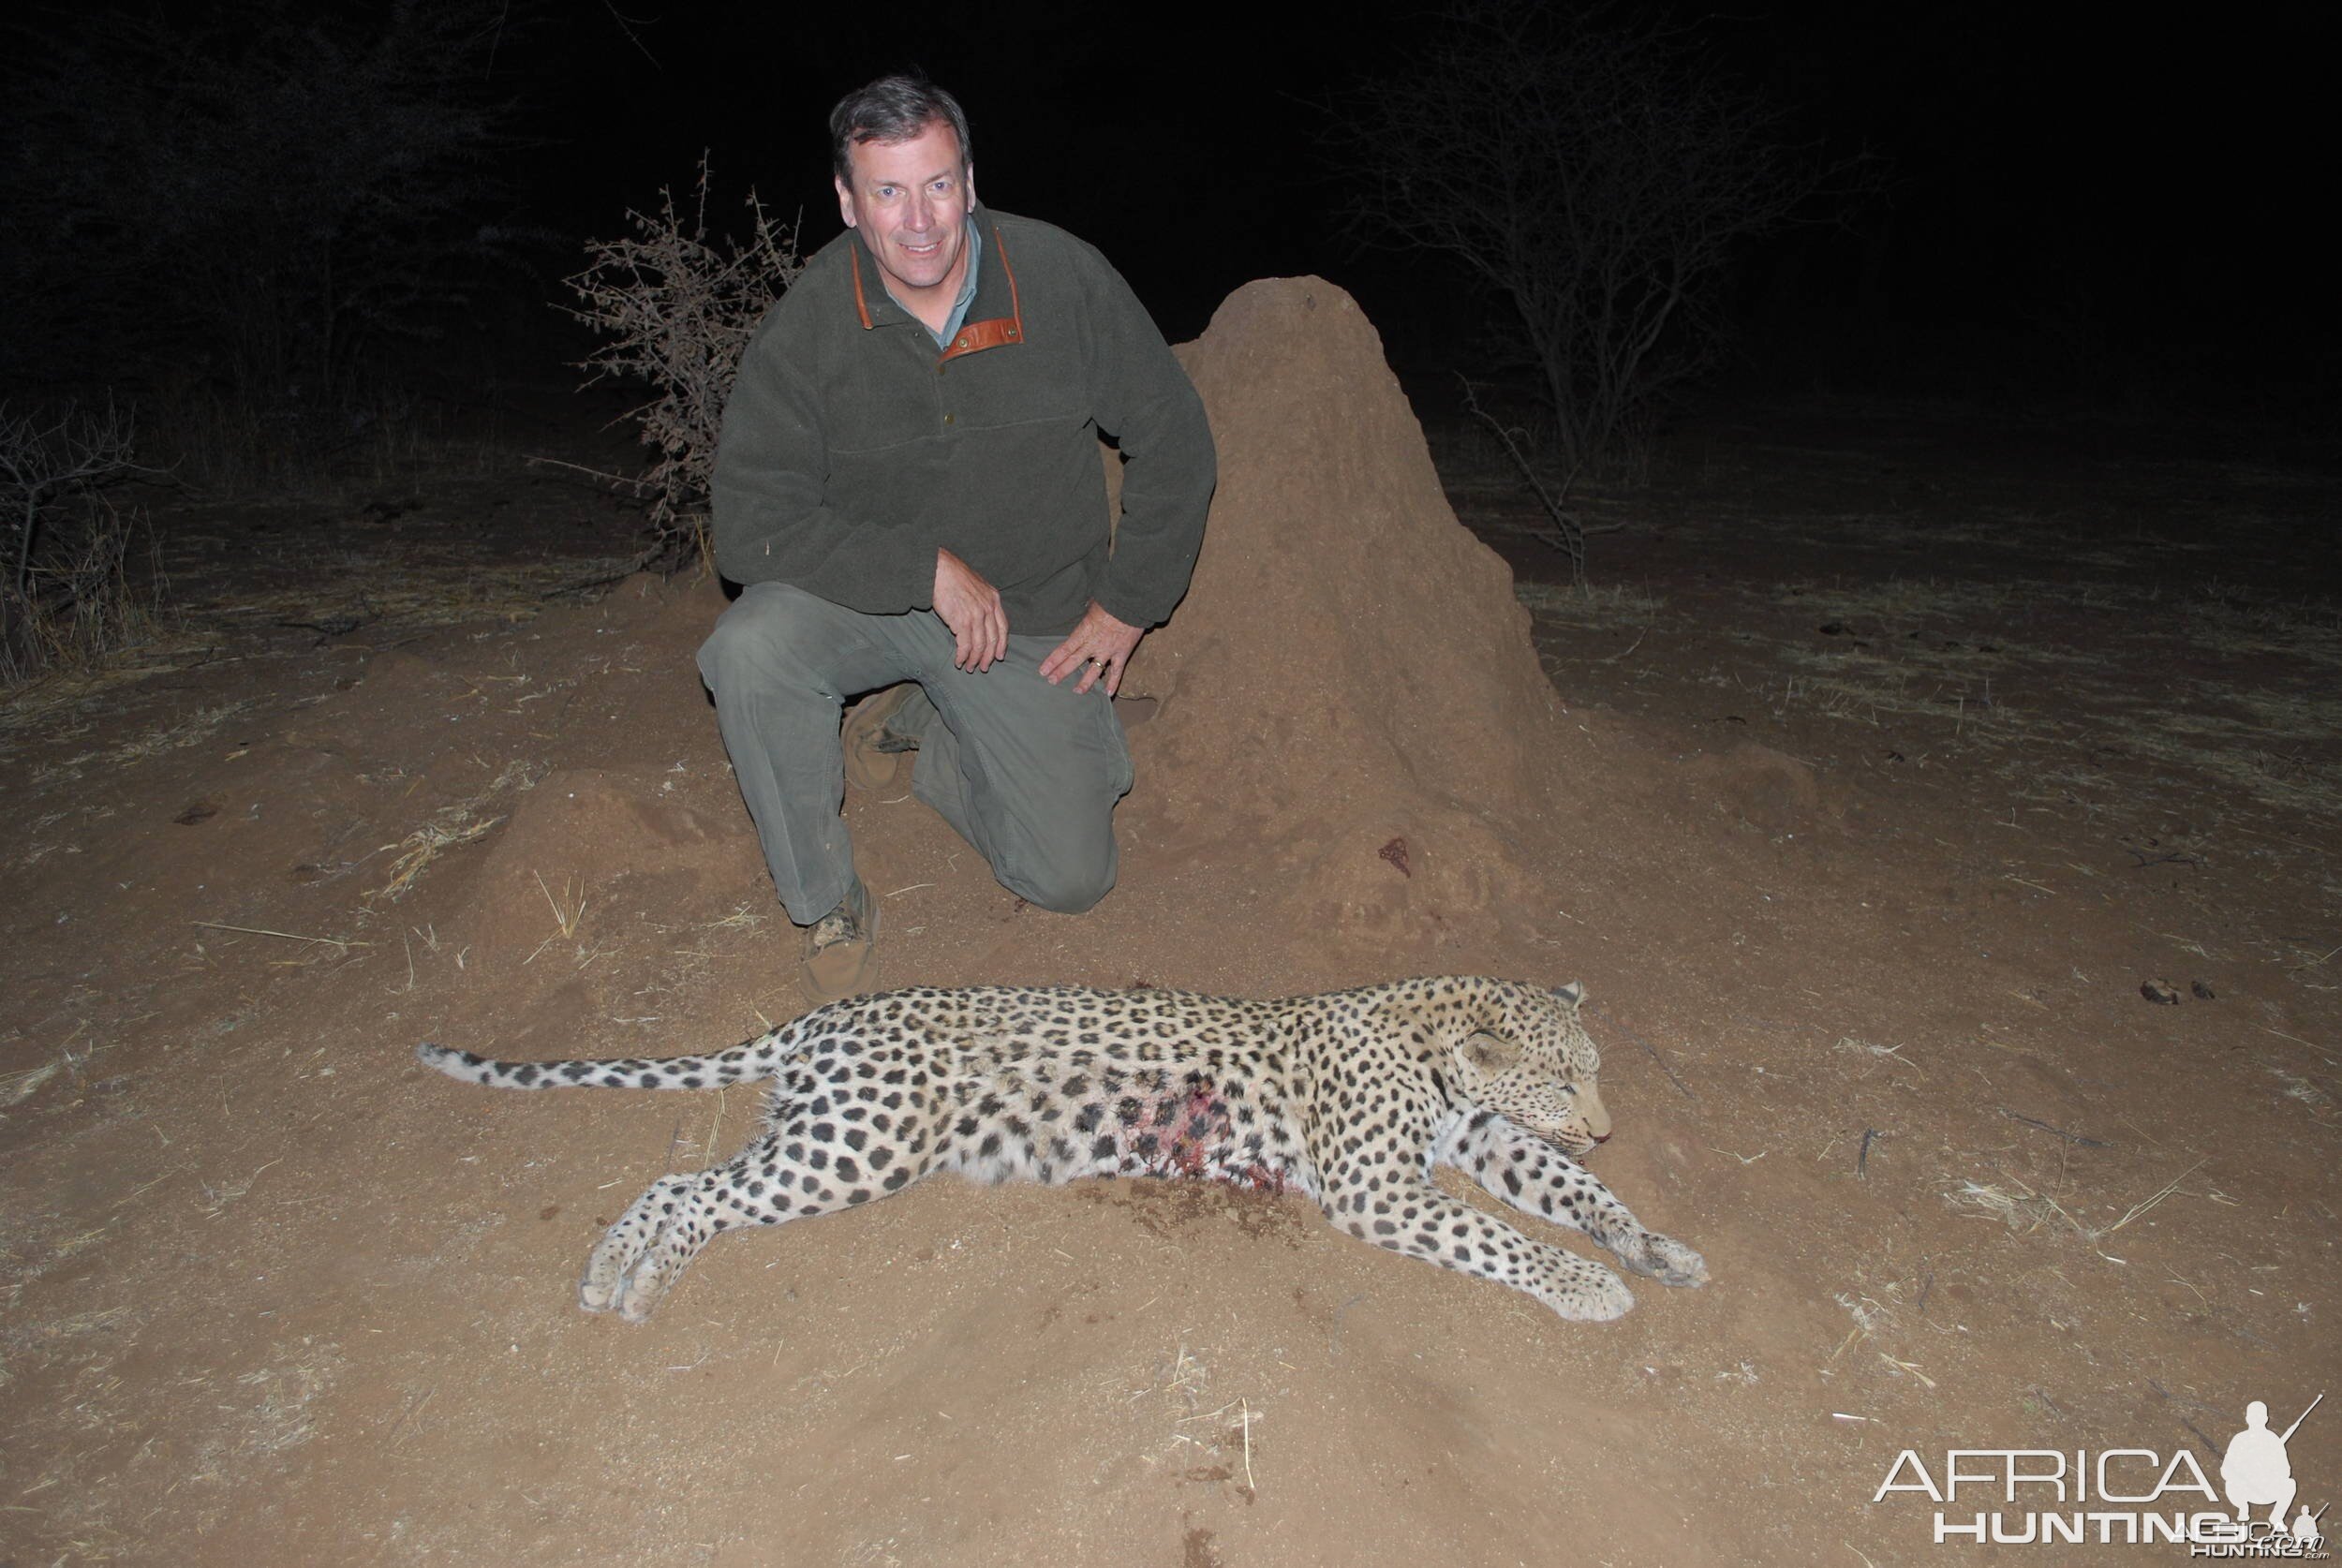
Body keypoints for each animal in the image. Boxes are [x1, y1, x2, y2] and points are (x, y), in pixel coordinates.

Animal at [417, 983, 1705, 1329]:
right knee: (686, 1185)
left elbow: (1570, 1191)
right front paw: (1588, 1284)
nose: (1605, 1118)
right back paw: (630, 1282)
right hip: (859, 1142)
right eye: (1566, 1078)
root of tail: (833, 1010)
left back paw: (609, 1273)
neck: (1440, 1057)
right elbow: (1495, 1233)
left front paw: (1654, 1246)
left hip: (823, 1130)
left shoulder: (1484, 1141)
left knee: (682, 1183)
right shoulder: (1381, 1187)